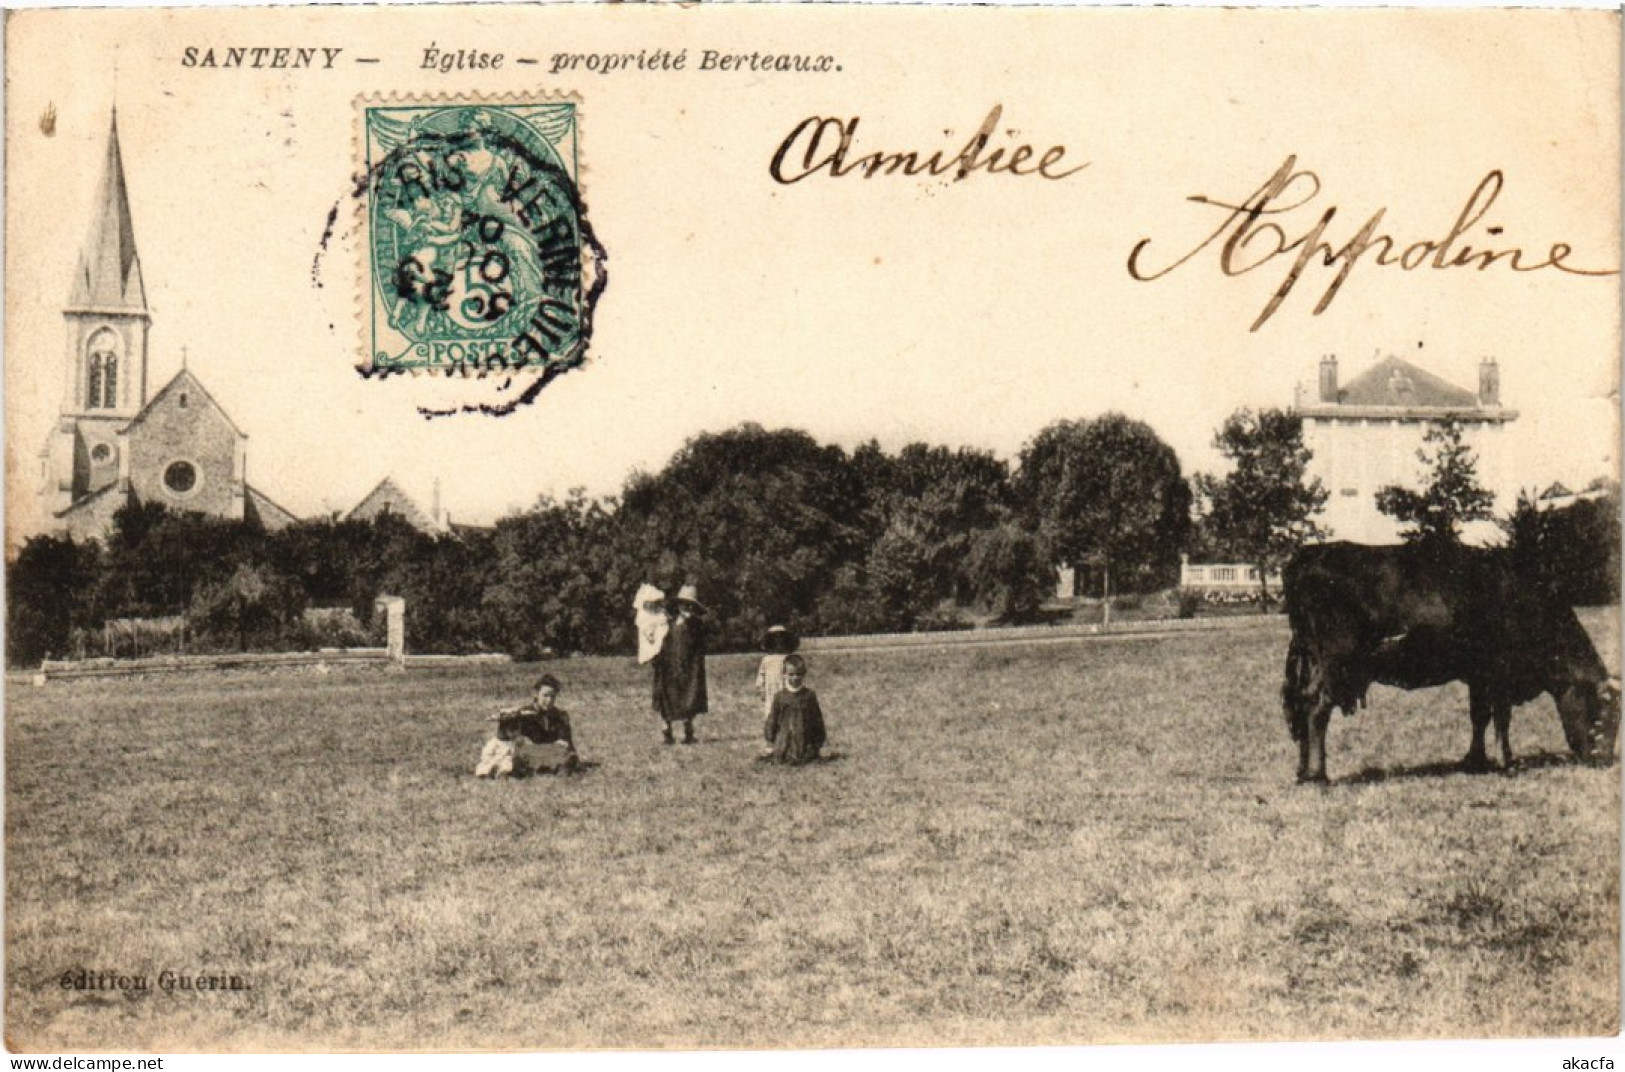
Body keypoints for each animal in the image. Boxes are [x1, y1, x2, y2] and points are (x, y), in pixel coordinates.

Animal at [1280, 545, 1612, 779]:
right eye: (1607, 711)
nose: (1605, 760)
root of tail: (1307, 554)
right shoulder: (1499, 673)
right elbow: (1502, 719)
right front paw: (1507, 762)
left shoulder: (1478, 676)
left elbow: (1479, 716)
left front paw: (1475, 760)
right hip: (1335, 666)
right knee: (1316, 709)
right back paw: (1318, 774)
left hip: (1310, 662)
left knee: (1300, 705)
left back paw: (1302, 771)